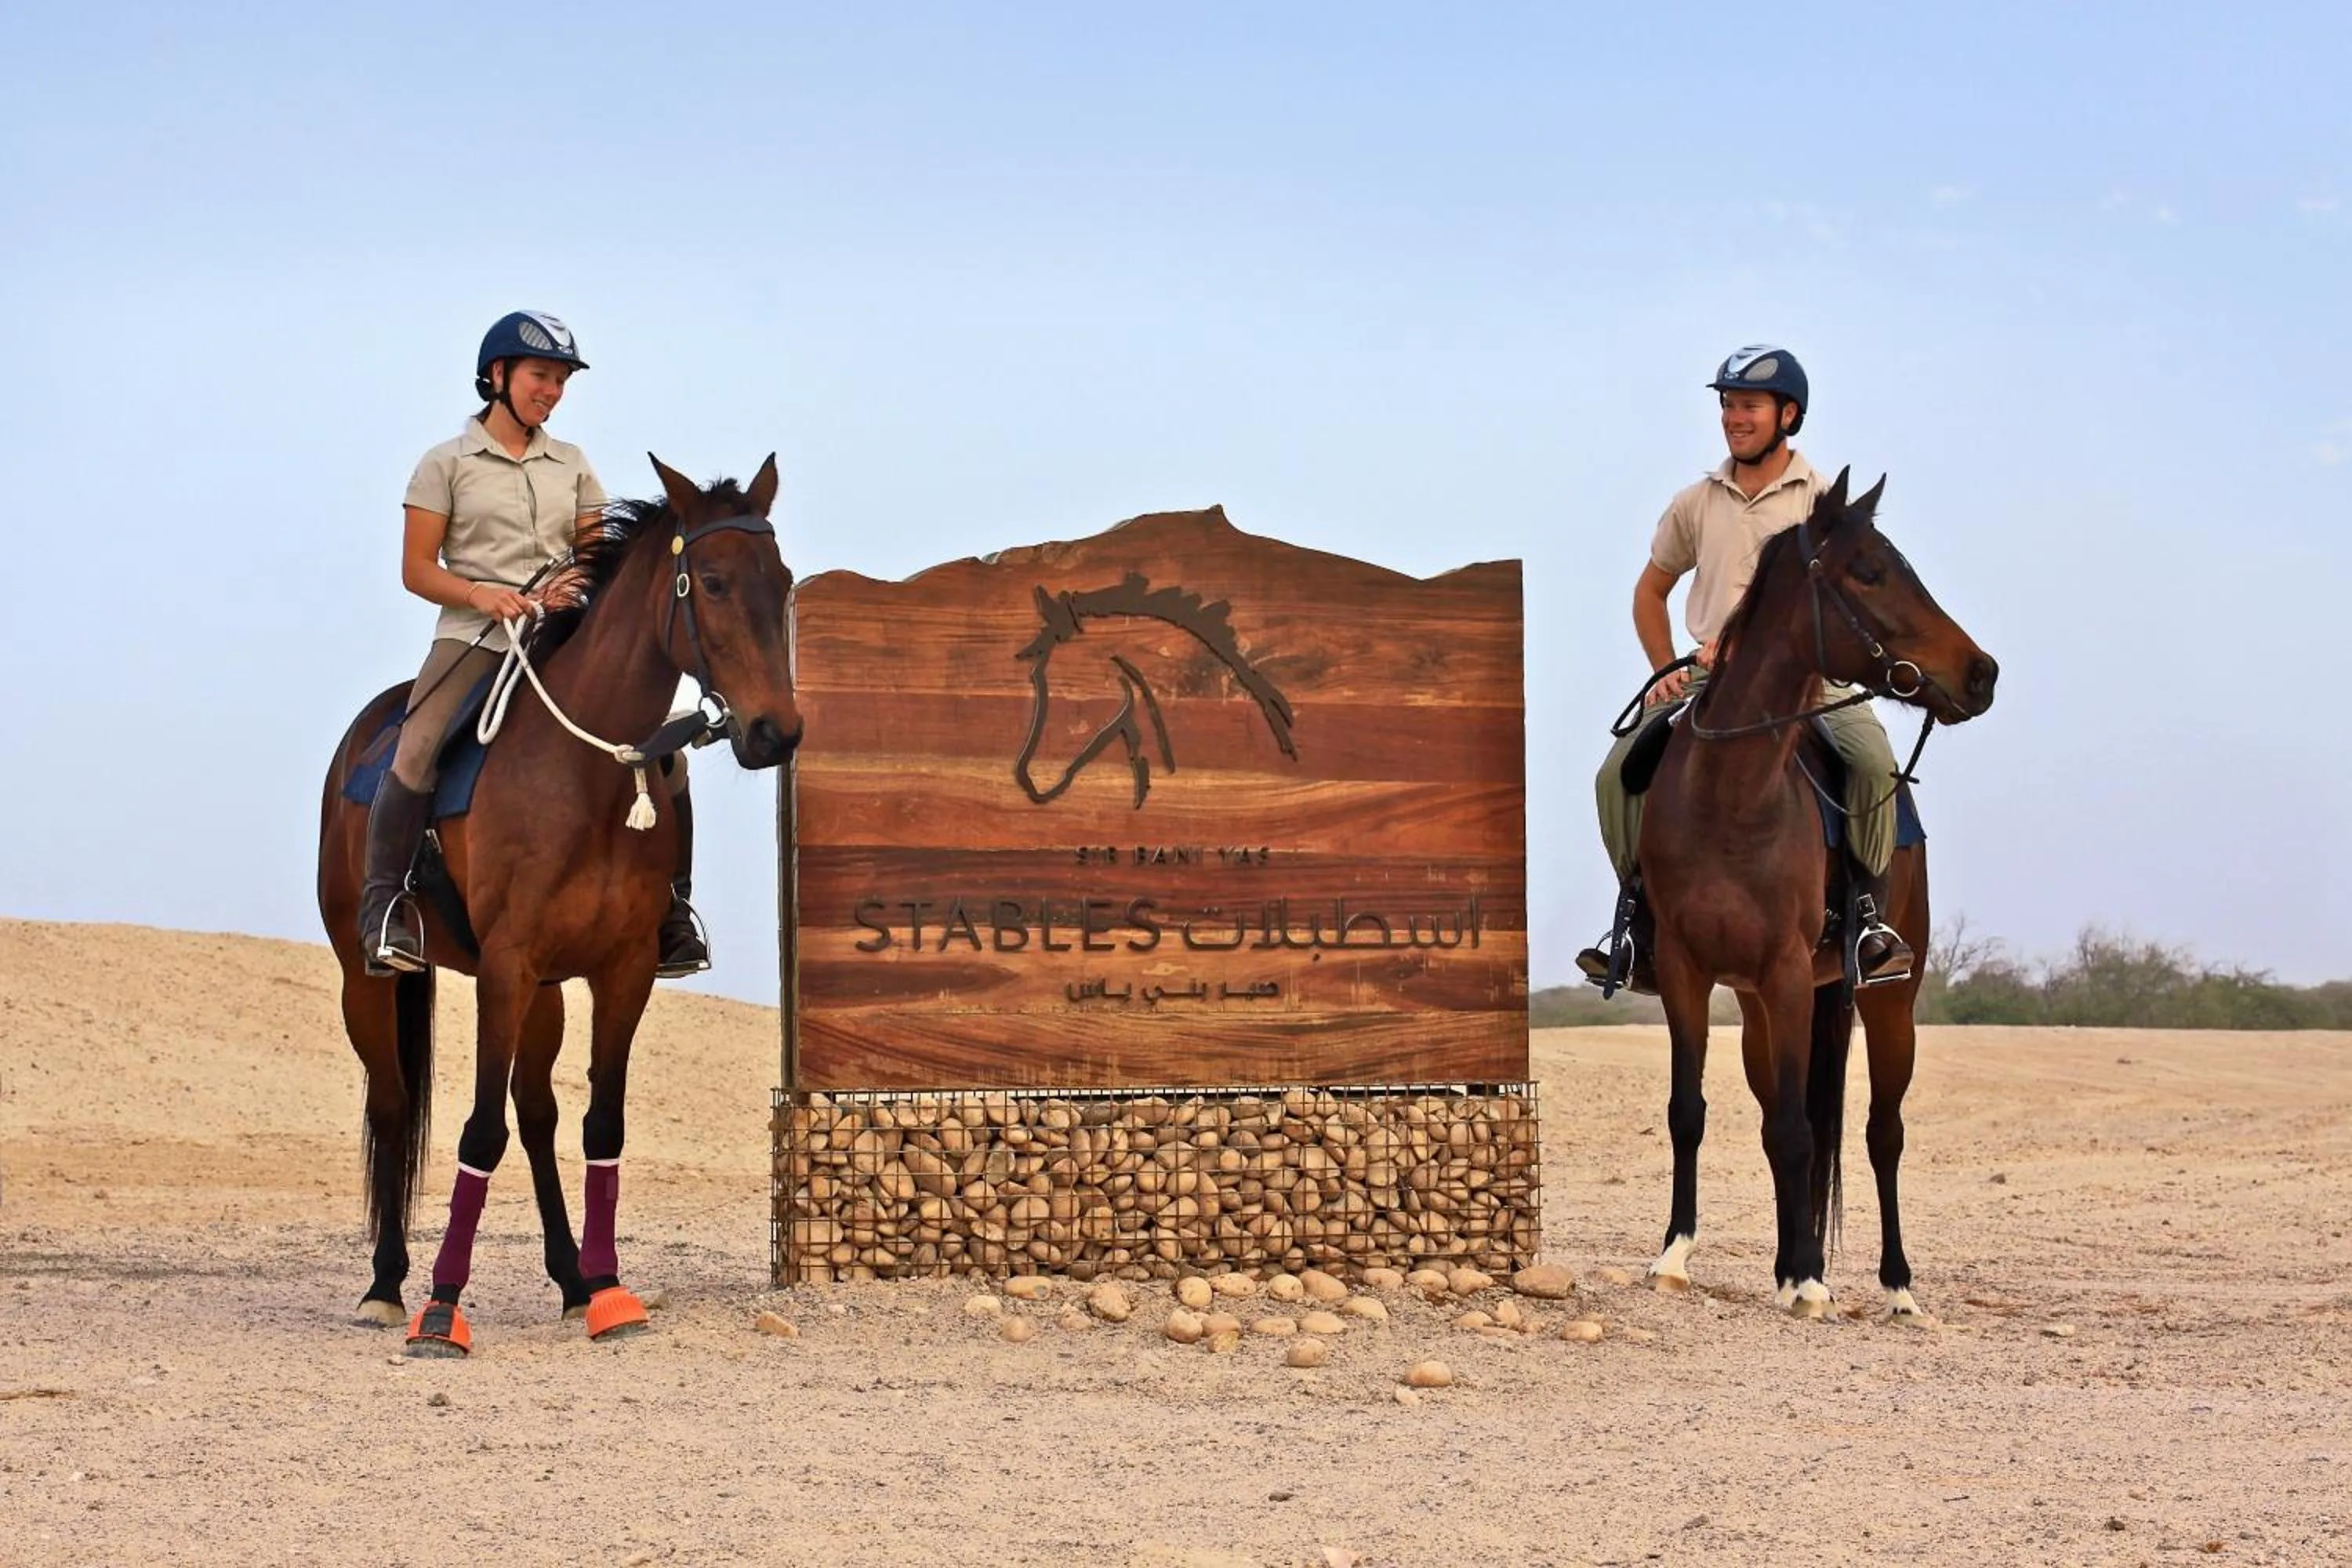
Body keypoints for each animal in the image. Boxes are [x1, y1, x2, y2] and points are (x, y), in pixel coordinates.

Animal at [315, 455, 801, 1356]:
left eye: (780, 581)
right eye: (714, 582)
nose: (776, 733)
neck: (585, 776)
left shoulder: (622, 971)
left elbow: (599, 1124)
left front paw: (606, 1290)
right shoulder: (503, 969)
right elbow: (477, 1131)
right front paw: (443, 1308)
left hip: (544, 993)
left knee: (536, 1112)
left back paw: (570, 1279)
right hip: (367, 979)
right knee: (394, 1106)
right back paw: (387, 1285)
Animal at [1636, 468, 1996, 1320]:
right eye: (1869, 571)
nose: (1983, 673)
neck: (1733, 794)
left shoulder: (1791, 973)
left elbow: (1805, 1133)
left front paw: (1807, 1276)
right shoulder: (1686, 973)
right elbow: (1694, 1112)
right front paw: (1676, 1254)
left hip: (1887, 1000)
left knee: (1880, 1131)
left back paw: (1894, 1285)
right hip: (1759, 1011)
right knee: (1782, 1118)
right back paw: (1788, 1261)